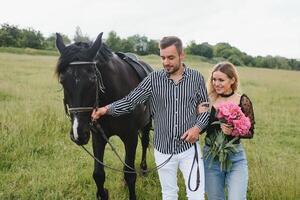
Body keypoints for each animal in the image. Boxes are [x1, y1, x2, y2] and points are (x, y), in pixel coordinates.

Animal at [55, 32, 152, 199]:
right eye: (62, 81)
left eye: (93, 80)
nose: (78, 133)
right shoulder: (97, 136)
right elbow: (98, 174)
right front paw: (103, 193)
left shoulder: (131, 137)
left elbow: (130, 174)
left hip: (147, 124)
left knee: (145, 143)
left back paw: (144, 169)